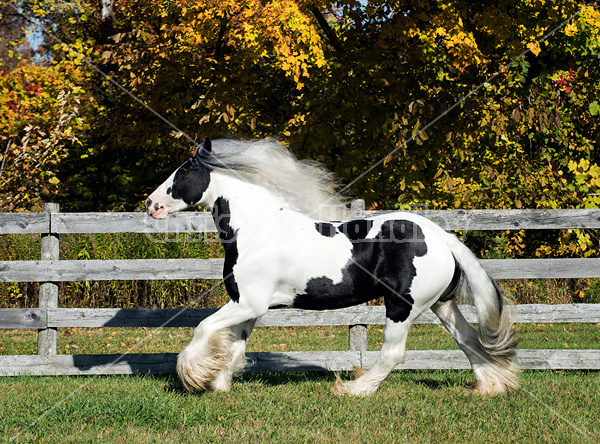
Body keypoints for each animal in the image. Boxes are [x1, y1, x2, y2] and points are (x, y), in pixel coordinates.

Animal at [146, 139, 520, 396]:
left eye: (185, 171)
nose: (151, 204)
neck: (255, 229)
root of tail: (442, 237)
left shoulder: (247, 303)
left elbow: (203, 329)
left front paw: (194, 377)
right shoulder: (250, 308)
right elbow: (236, 347)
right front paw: (220, 385)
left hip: (402, 307)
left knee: (393, 354)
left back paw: (354, 390)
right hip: (441, 304)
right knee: (468, 340)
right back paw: (490, 387)